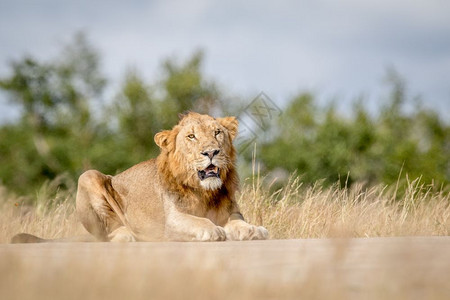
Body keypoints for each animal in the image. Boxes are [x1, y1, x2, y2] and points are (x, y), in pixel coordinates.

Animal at [11, 111, 268, 243]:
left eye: (217, 133)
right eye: (191, 136)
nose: (212, 152)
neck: (206, 192)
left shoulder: (231, 211)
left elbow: (238, 221)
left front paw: (253, 229)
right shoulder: (173, 220)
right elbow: (199, 221)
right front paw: (213, 230)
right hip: (88, 176)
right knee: (104, 234)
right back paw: (126, 235)